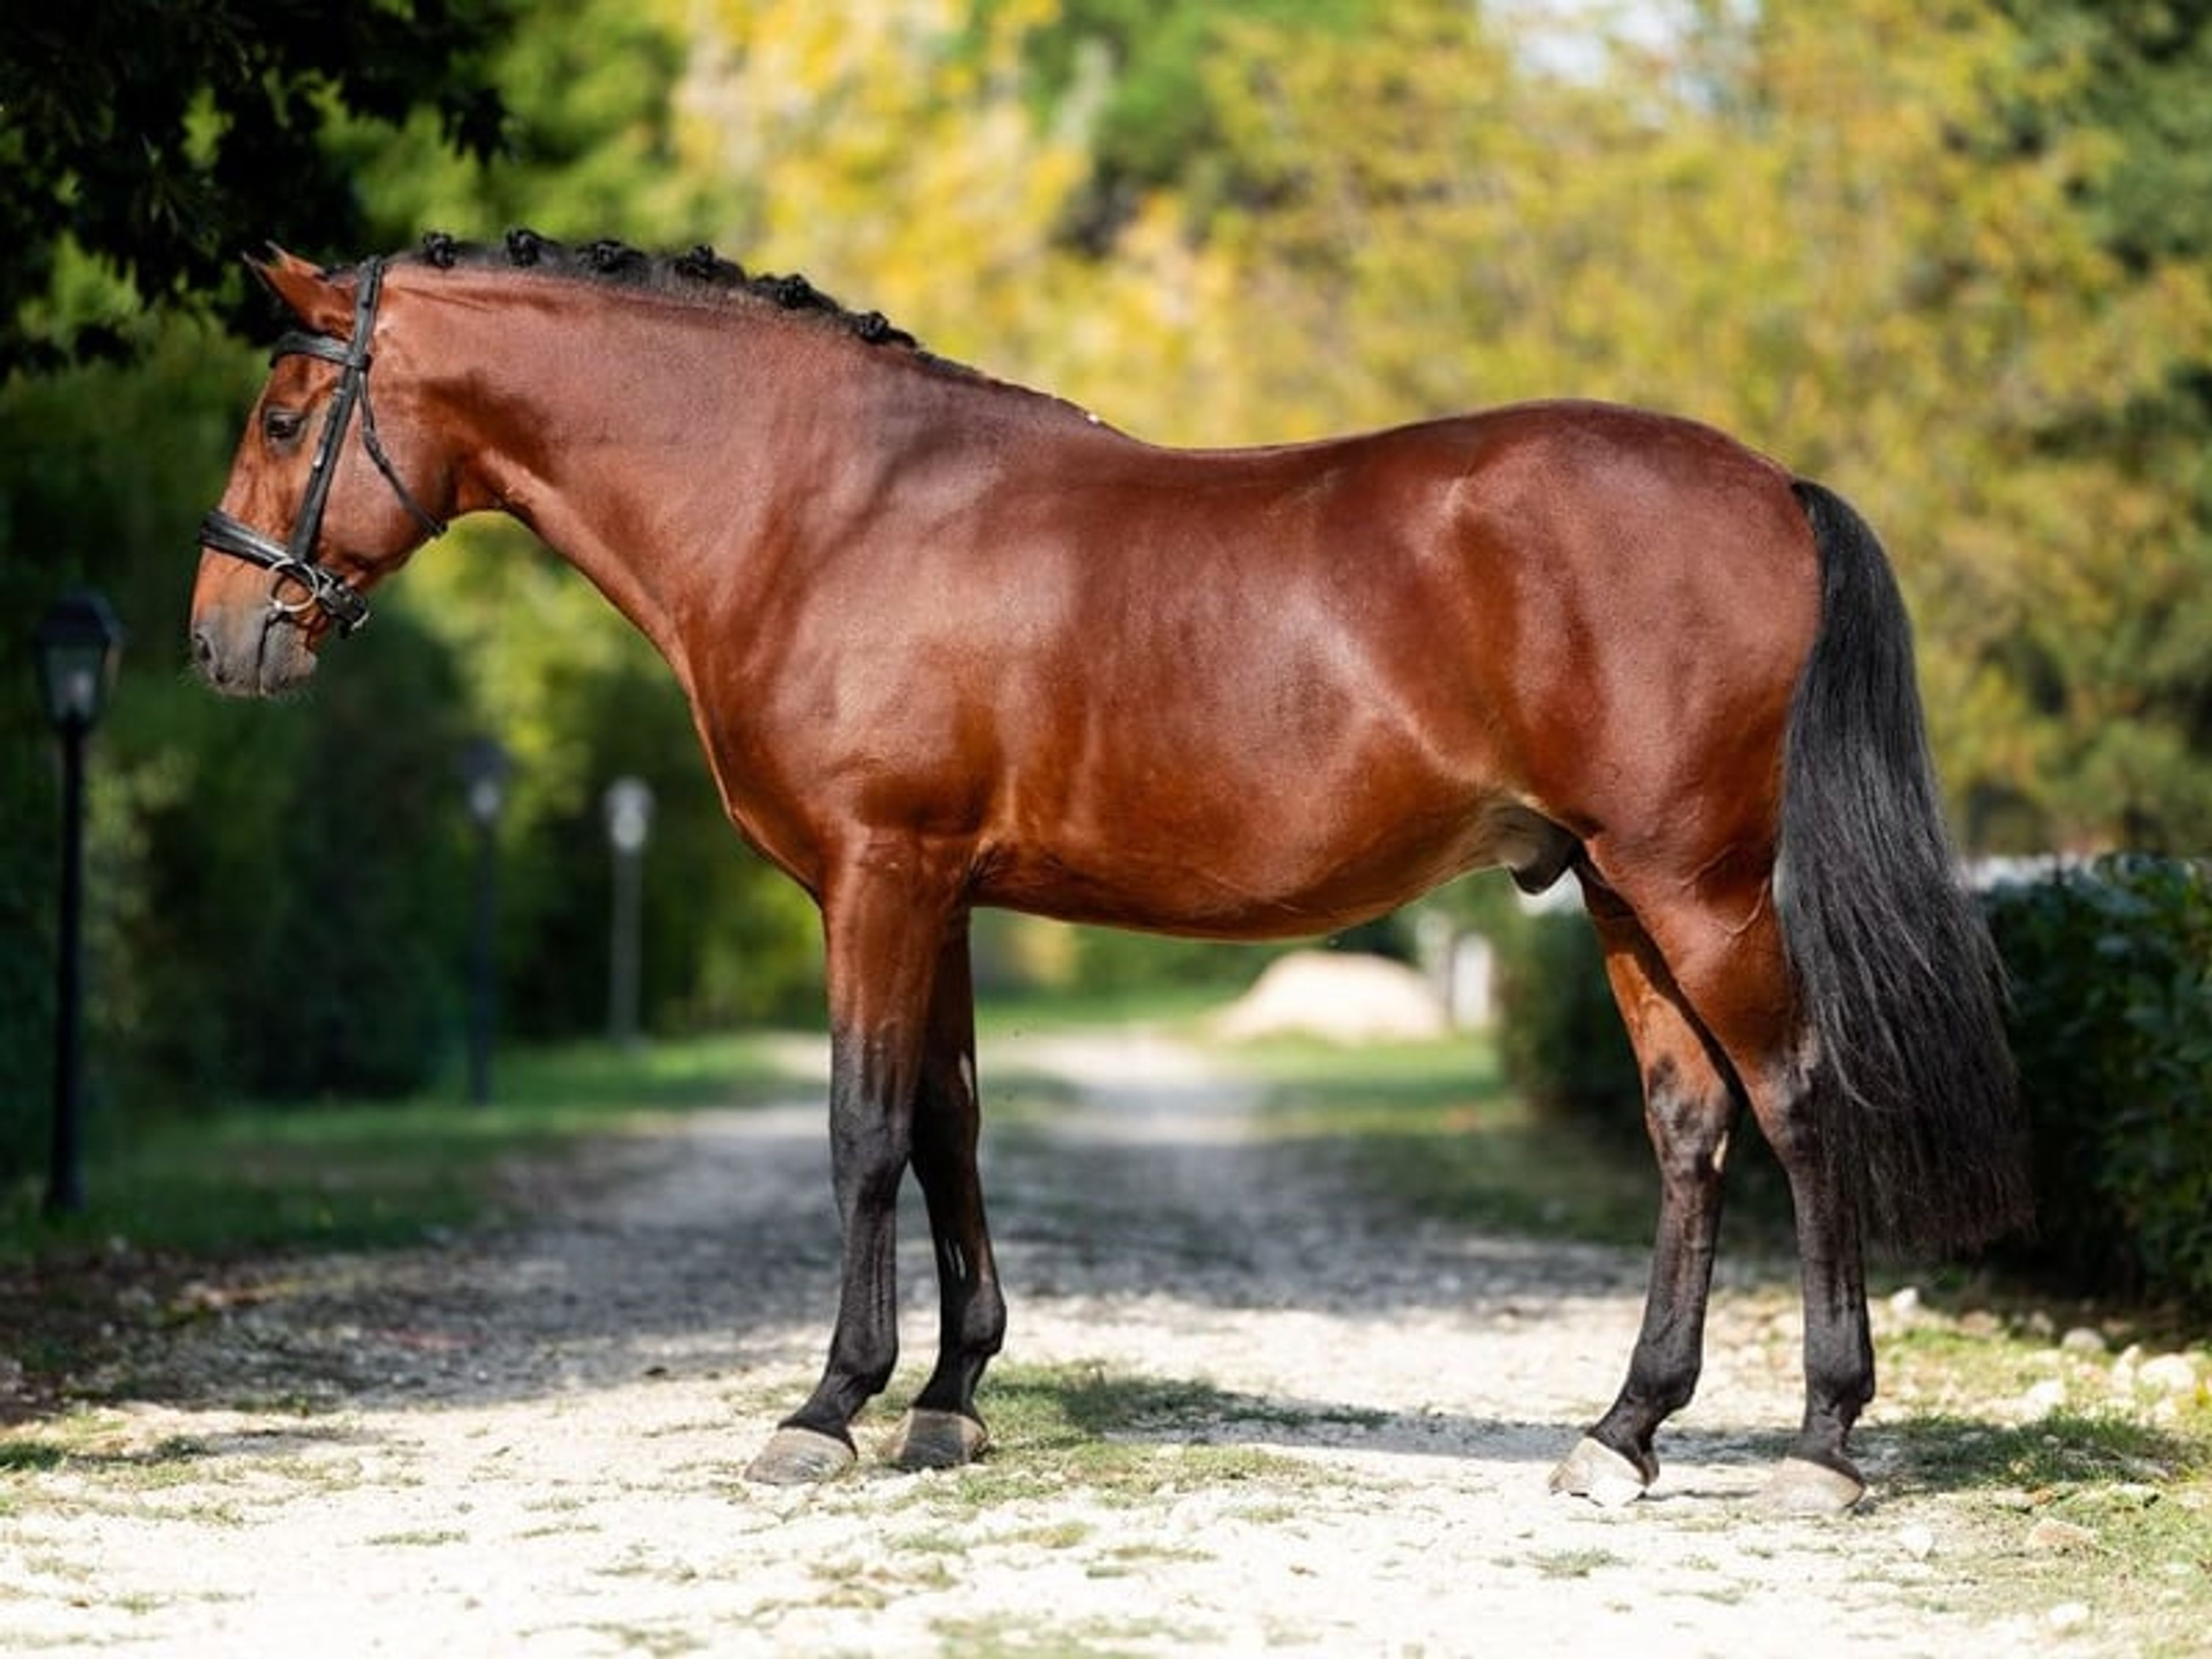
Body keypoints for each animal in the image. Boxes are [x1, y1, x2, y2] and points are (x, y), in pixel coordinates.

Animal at [190, 231, 2028, 1511]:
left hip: (1699, 887)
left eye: (286, 413)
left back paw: (1819, 1443)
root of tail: (1768, 485)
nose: (221, 642)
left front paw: (826, 1409)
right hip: (1620, 895)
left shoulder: (878, 879)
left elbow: (862, 1130)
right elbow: (947, 1126)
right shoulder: (932, 896)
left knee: (1800, 1106)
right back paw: (1622, 1431)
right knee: (1689, 1128)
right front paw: (946, 1402)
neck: (825, 507)